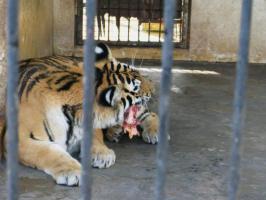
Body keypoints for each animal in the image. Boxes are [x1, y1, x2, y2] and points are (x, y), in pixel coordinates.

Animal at [0, 43, 159, 187]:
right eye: (136, 87)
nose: (153, 89)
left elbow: (96, 137)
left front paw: (102, 155)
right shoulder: (19, 139)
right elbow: (49, 152)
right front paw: (73, 172)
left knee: (150, 114)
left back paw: (153, 132)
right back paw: (115, 131)